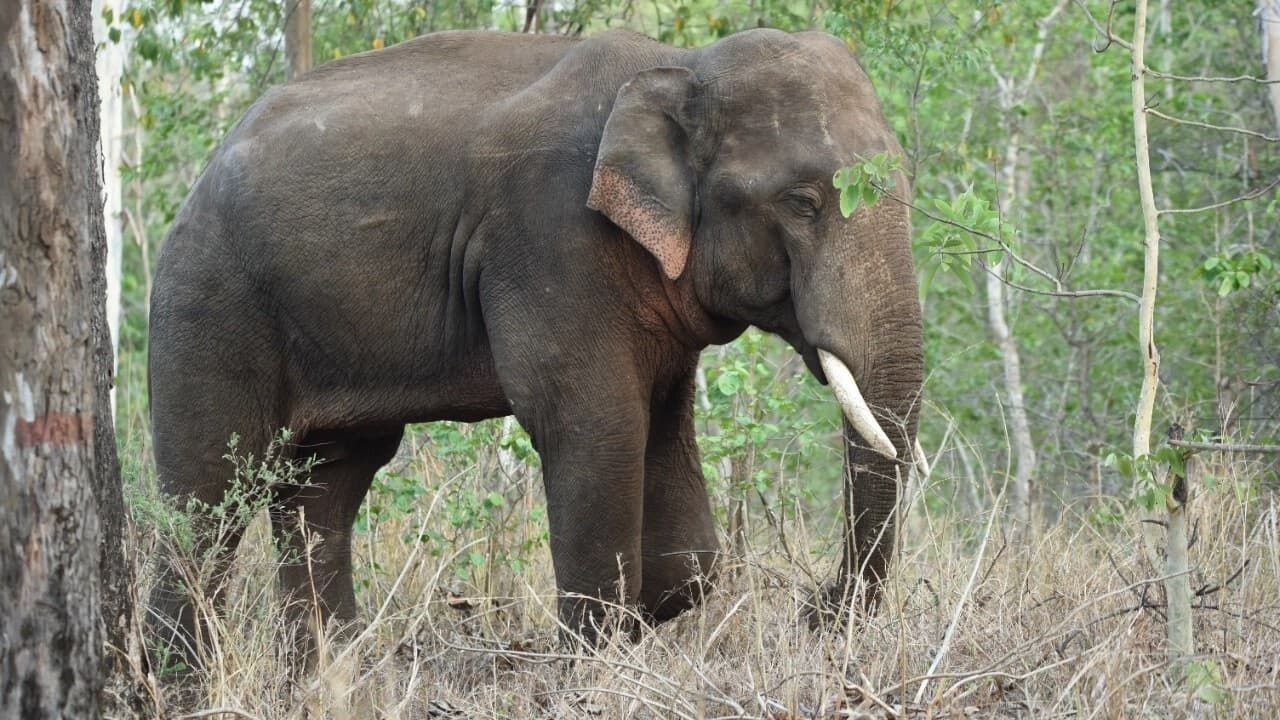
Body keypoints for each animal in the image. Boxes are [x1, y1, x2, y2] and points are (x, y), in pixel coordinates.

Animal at [147, 26, 924, 669]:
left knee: (325, 489)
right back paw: (178, 681)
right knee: (205, 494)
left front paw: (642, 616)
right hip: (208, 301)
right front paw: (592, 667)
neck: (678, 63)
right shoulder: (550, 238)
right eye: (803, 204)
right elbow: (593, 421)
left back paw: (328, 683)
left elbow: (677, 496)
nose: (813, 609)